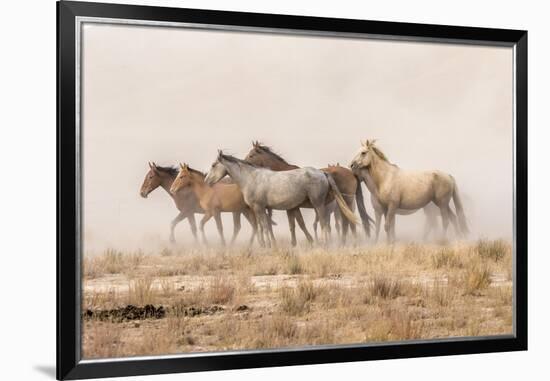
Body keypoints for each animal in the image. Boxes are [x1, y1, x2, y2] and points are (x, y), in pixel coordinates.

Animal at [205, 151, 360, 246]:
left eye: (213, 165)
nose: (207, 181)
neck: (251, 178)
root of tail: (323, 173)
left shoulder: (259, 208)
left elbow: (265, 226)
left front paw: (269, 245)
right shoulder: (263, 209)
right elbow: (265, 226)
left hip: (319, 205)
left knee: (324, 224)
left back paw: (325, 243)